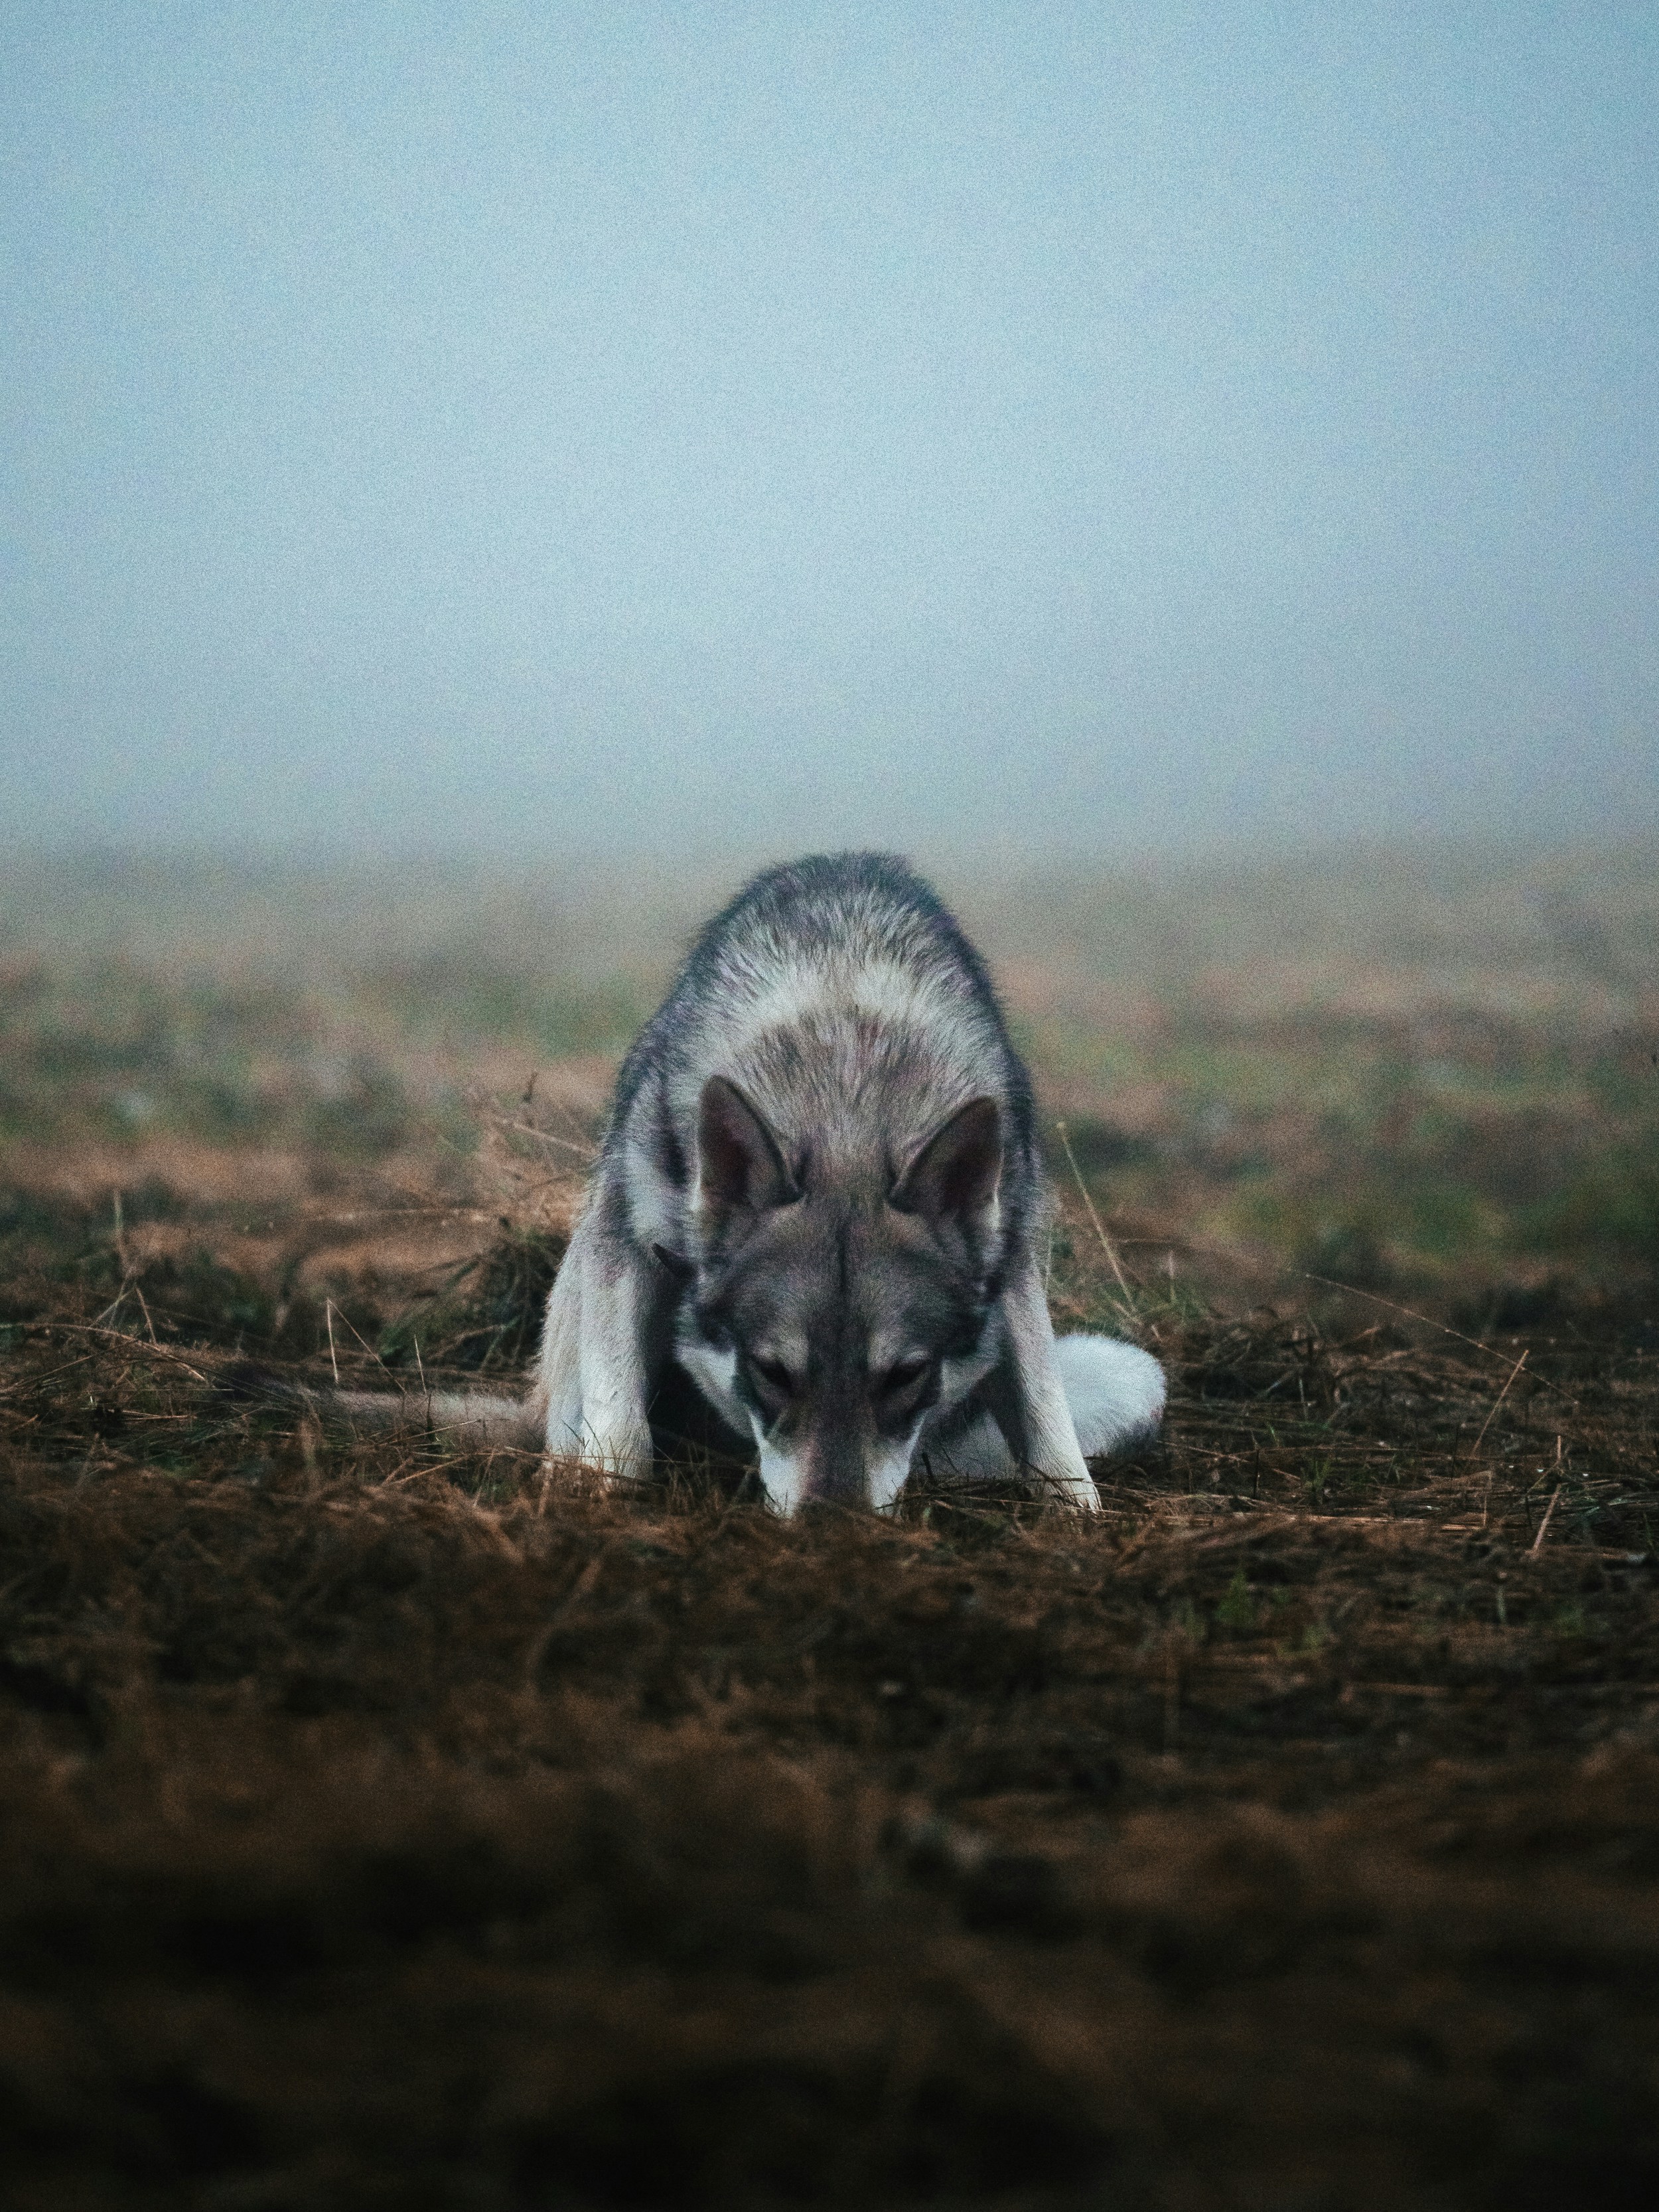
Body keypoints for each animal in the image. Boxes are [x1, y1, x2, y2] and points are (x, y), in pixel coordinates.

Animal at [312, 853, 1164, 1513]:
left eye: (906, 1377)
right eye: (772, 1372)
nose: (832, 1526)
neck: (843, 1083)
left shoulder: (1013, 1274)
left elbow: (1052, 1435)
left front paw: (1076, 1524)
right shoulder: (626, 1251)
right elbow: (621, 1435)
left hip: (1134, 1375)